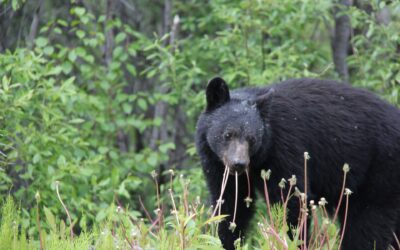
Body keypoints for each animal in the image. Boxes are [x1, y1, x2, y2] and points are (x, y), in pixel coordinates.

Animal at [196, 77, 400, 250]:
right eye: (227, 134)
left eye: (252, 139)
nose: (238, 164)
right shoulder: (216, 162)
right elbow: (229, 203)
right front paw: (222, 240)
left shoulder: (285, 148)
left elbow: (292, 200)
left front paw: (292, 240)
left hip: (381, 170)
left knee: (367, 224)